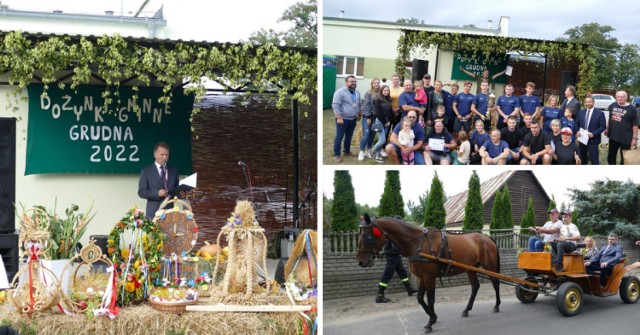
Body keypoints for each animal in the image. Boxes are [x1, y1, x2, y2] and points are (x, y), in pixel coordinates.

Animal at [356, 215, 500, 334]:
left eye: (368, 236)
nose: (360, 261)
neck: (418, 243)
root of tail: (487, 238)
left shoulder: (429, 277)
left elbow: (430, 299)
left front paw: (430, 323)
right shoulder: (422, 277)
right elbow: (420, 298)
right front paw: (433, 317)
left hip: (490, 267)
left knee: (495, 283)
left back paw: (497, 306)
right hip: (470, 269)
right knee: (475, 287)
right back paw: (467, 309)